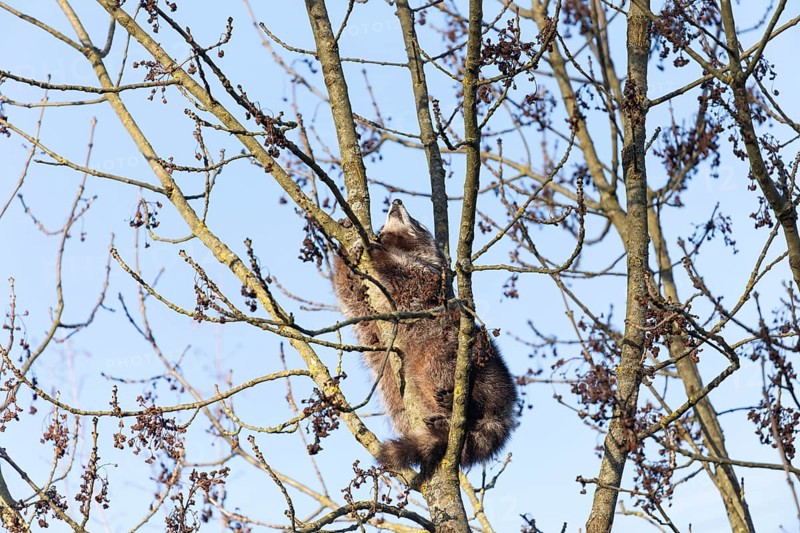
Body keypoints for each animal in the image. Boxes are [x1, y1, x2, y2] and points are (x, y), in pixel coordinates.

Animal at [332, 199, 517, 471]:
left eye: (418, 223)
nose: (396, 200)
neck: (402, 245)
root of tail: (505, 408)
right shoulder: (367, 311)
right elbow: (351, 295)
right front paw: (344, 252)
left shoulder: (432, 278)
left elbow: (411, 277)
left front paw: (380, 253)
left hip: (468, 358)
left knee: (441, 369)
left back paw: (471, 406)